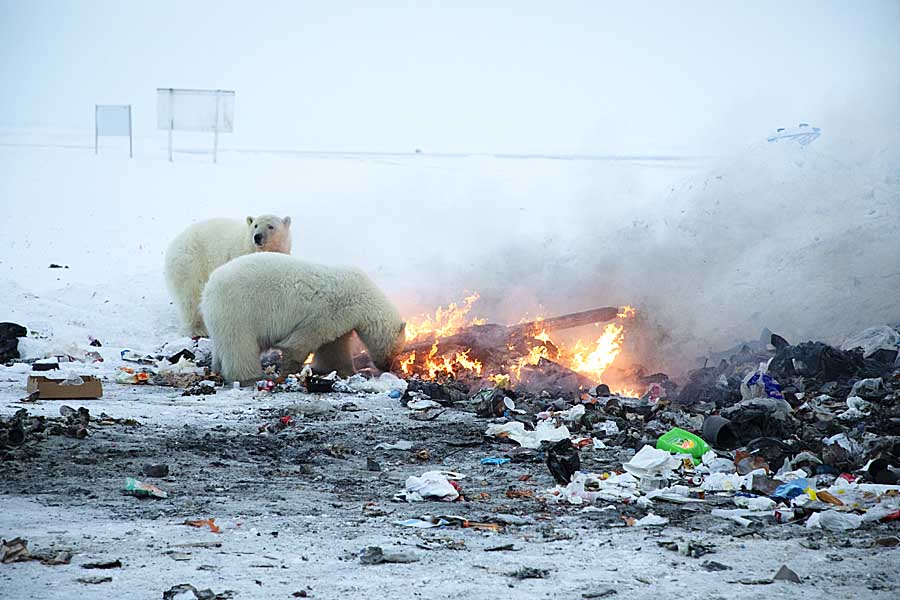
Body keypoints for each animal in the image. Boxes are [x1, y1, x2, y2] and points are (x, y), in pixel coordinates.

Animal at [202, 253, 406, 384]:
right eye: (396, 350)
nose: (387, 367)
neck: (364, 298)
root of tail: (209, 287)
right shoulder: (330, 310)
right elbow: (301, 341)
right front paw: (289, 371)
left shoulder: (341, 319)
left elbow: (334, 347)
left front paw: (347, 371)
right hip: (239, 309)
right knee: (240, 345)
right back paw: (251, 376)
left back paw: (217, 369)